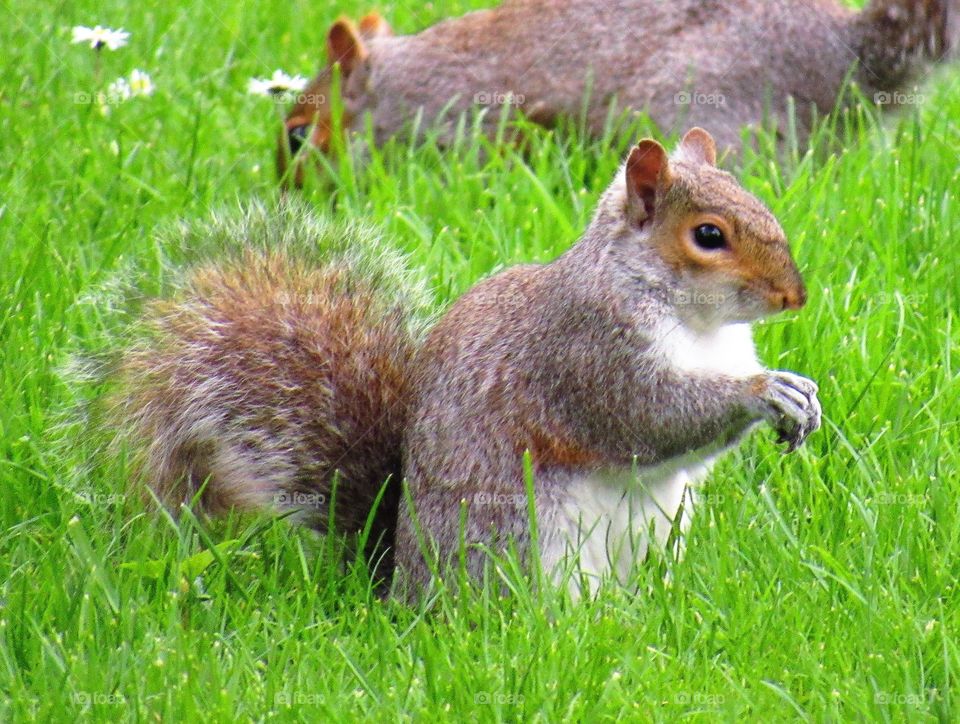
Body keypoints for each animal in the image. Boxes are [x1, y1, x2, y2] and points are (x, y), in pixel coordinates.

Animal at [111, 128, 821, 600]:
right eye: (708, 235)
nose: (795, 296)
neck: (700, 326)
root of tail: (400, 591)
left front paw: (803, 398)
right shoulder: (588, 354)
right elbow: (650, 418)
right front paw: (764, 392)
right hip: (527, 536)